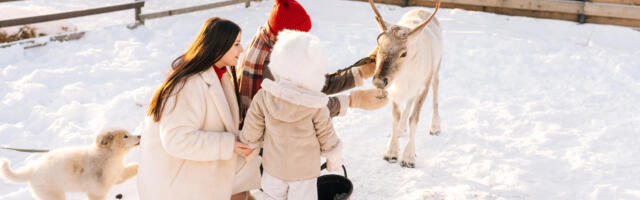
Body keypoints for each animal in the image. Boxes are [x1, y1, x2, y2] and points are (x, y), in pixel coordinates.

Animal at [0, 129, 140, 199]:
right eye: (125, 136)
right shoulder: (96, 192)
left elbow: (132, 169)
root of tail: (31, 170)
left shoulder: (117, 175)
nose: (140, 136)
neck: (106, 157)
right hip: (53, 195)